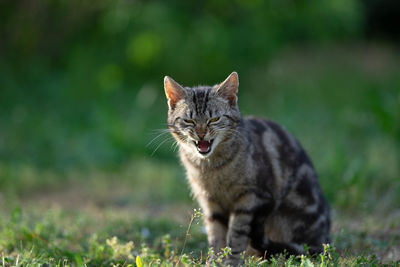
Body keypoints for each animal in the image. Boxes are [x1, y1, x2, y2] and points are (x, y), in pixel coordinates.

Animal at [162, 72, 332, 266]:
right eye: (189, 120)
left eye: (214, 119)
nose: (201, 134)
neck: (211, 168)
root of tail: (324, 238)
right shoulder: (211, 204)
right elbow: (216, 237)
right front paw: (214, 261)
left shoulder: (250, 199)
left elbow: (236, 235)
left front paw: (232, 261)